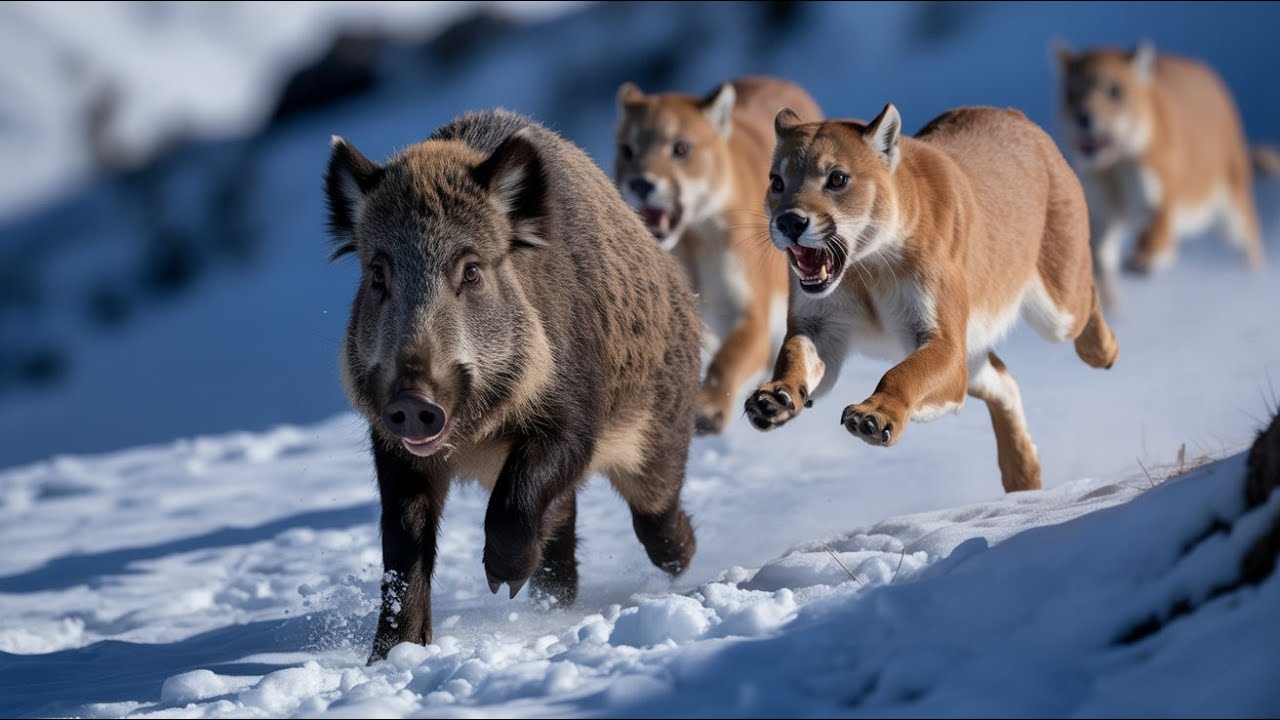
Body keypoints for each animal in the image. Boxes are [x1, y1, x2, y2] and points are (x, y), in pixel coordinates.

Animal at [325, 110, 701, 663]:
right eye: (377, 275)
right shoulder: (392, 444)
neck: (476, 435)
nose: (413, 401)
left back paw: (682, 559)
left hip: (663, 431)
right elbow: (403, 547)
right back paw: (553, 603)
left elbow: (517, 499)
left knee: (654, 520)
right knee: (564, 525)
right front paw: (391, 657)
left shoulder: (574, 414)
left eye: (472, 270)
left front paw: (502, 584)